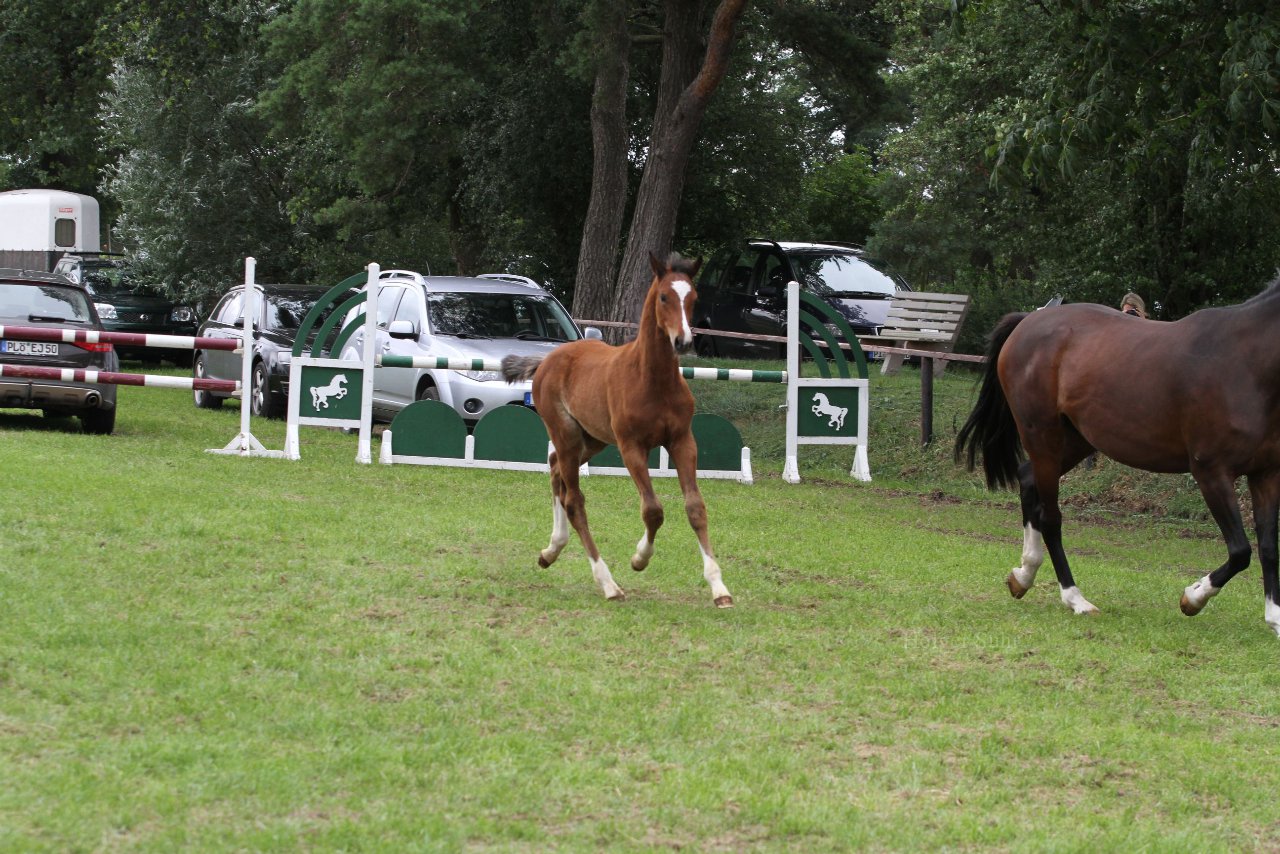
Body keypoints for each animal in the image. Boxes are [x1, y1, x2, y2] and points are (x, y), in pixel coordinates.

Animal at [504, 252, 737, 606]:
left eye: (694, 298)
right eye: (664, 297)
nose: (683, 340)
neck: (653, 379)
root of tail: (546, 361)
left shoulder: (683, 441)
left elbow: (695, 508)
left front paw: (719, 588)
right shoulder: (631, 447)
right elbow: (653, 510)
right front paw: (639, 559)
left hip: (592, 439)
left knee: (555, 469)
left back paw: (551, 550)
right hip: (567, 435)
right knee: (574, 501)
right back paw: (608, 583)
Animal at [957, 284, 1280, 637]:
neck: (1245, 364)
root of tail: (1030, 320)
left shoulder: (1266, 475)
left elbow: (1268, 546)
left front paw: (1274, 618)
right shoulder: (1211, 472)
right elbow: (1241, 551)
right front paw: (1193, 598)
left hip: (1075, 440)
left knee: (1028, 481)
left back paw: (1024, 575)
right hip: (1042, 436)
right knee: (1050, 517)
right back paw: (1076, 599)